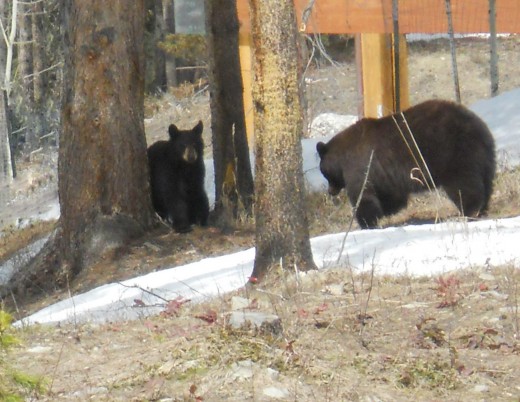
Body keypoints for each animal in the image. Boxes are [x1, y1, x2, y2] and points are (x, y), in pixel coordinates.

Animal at [316, 99, 496, 228]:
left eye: (323, 172)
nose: (330, 191)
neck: (341, 158)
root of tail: (478, 126)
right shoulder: (385, 175)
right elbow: (392, 196)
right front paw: (385, 211)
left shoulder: (359, 166)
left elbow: (363, 195)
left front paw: (366, 222)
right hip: (484, 158)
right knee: (486, 182)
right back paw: (483, 208)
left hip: (454, 153)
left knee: (463, 184)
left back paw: (470, 211)